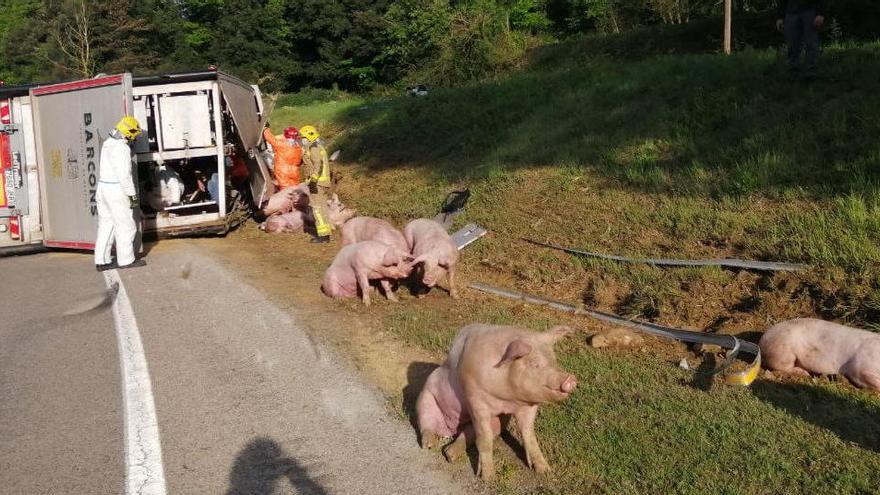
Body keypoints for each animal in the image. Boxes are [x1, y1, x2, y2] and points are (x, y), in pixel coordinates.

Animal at [418, 324, 576, 482]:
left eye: (554, 360)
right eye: (535, 364)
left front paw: (546, 471)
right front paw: (489, 479)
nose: (571, 378)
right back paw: (429, 445)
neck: (508, 399)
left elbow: (529, 434)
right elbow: (484, 438)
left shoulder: (528, 405)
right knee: (426, 424)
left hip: (498, 422)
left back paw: (449, 455)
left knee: (466, 434)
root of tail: (451, 429)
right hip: (425, 398)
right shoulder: (475, 398)